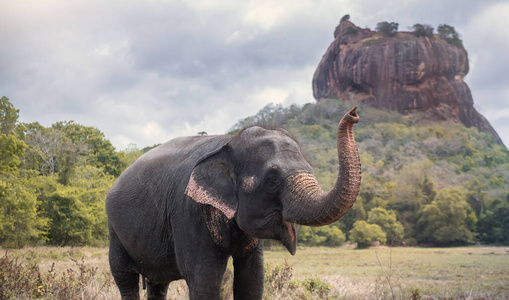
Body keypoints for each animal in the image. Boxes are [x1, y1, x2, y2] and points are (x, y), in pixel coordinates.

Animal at [106, 106, 362, 298]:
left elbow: (252, 278)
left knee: (158, 284)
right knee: (125, 279)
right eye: (272, 180)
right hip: (115, 231)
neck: (228, 142)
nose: (354, 113)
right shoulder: (188, 212)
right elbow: (204, 279)